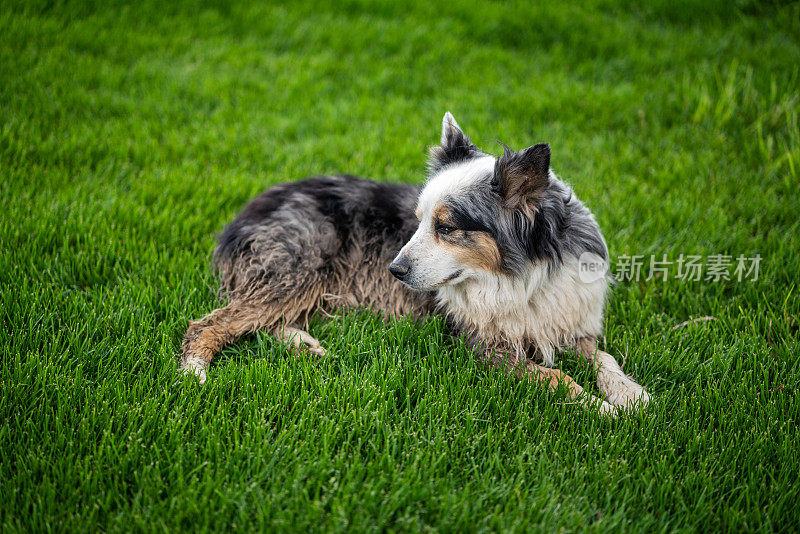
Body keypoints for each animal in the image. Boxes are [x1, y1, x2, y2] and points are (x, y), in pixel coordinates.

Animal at [180, 112, 648, 414]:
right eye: (418, 219)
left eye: (447, 227)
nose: (394, 272)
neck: (522, 277)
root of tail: (246, 212)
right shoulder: (482, 346)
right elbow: (555, 377)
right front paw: (601, 408)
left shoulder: (570, 318)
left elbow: (603, 357)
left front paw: (629, 395)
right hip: (300, 267)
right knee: (211, 323)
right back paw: (193, 376)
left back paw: (306, 346)